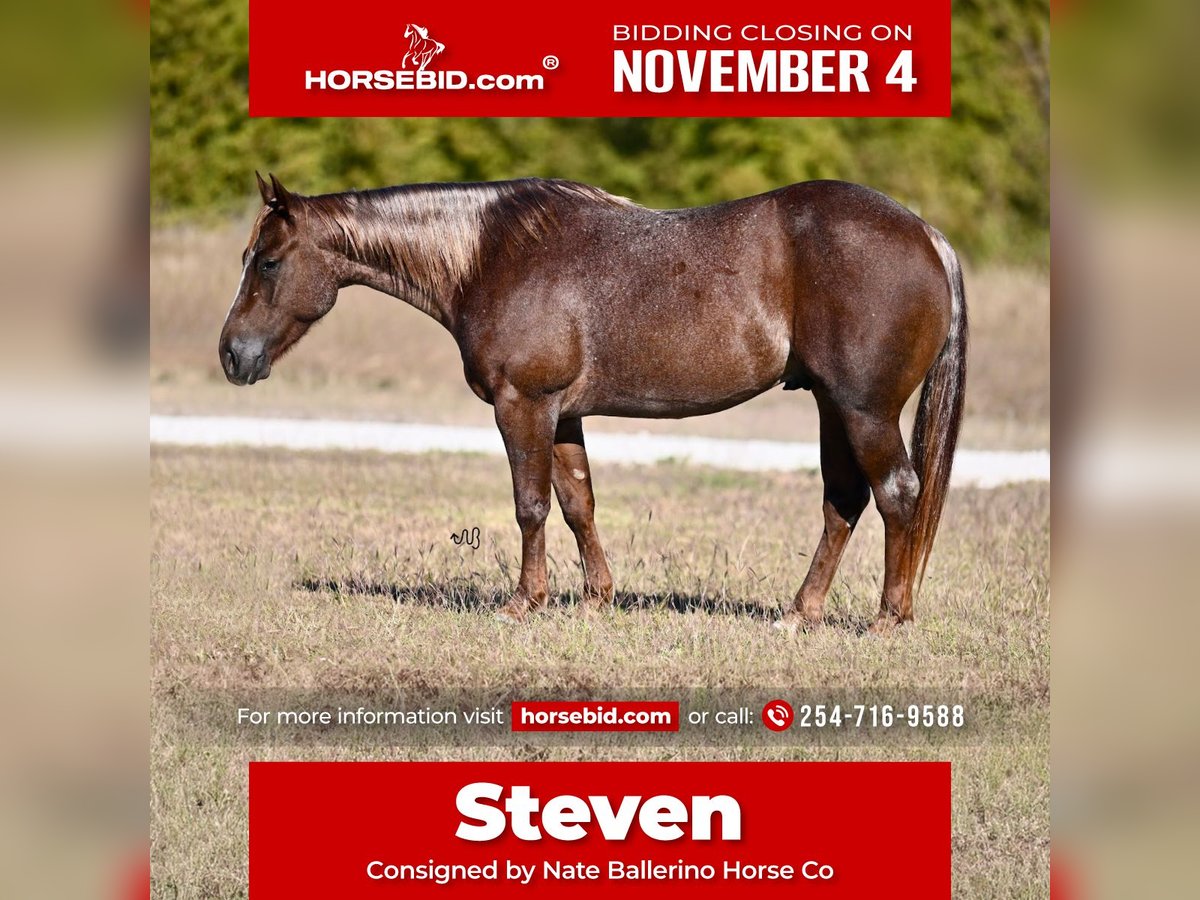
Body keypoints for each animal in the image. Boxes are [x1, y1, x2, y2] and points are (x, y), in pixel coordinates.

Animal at [218, 176, 964, 633]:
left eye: (269, 262)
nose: (232, 355)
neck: (490, 255)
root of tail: (927, 235)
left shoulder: (523, 405)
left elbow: (531, 504)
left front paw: (525, 602)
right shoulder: (564, 413)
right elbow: (579, 503)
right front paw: (595, 599)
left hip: (863, 411)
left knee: (896, 493)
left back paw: (889, 617)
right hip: (832, 407)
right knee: (844, 502)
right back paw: (800, 613)